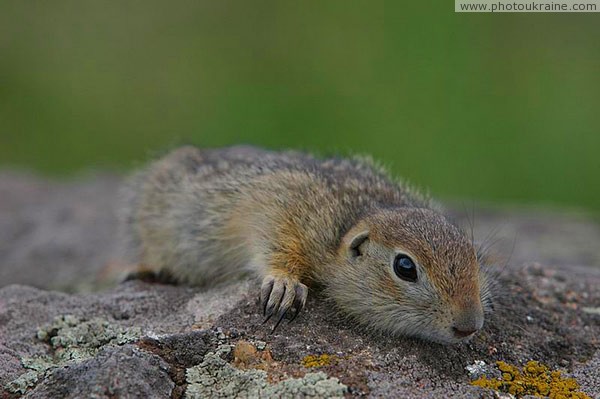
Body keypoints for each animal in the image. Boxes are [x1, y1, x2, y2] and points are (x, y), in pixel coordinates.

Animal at [119, 147, 490, 344]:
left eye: (472, 255)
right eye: (405, 267)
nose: (469, 325)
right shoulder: (279, 207)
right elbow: (274, 243)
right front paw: (284, 286)